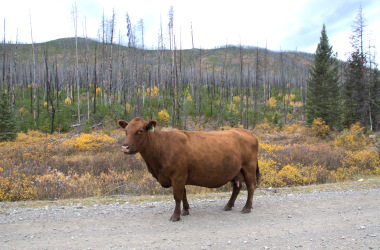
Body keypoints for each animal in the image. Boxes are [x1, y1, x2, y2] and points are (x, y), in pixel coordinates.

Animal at [117, 117, 260, 221]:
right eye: (126, 131)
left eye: (140, 130)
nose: (125, 147)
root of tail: (246, 131)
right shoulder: (180, 176)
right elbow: (184, 194)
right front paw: (185, 210)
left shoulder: (177, 176)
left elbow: (177, 196)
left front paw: (175, 216)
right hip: (235, 171)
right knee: (237, 187)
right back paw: (228, 205)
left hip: (249, 167)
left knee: (251, 186)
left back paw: (247, 208)